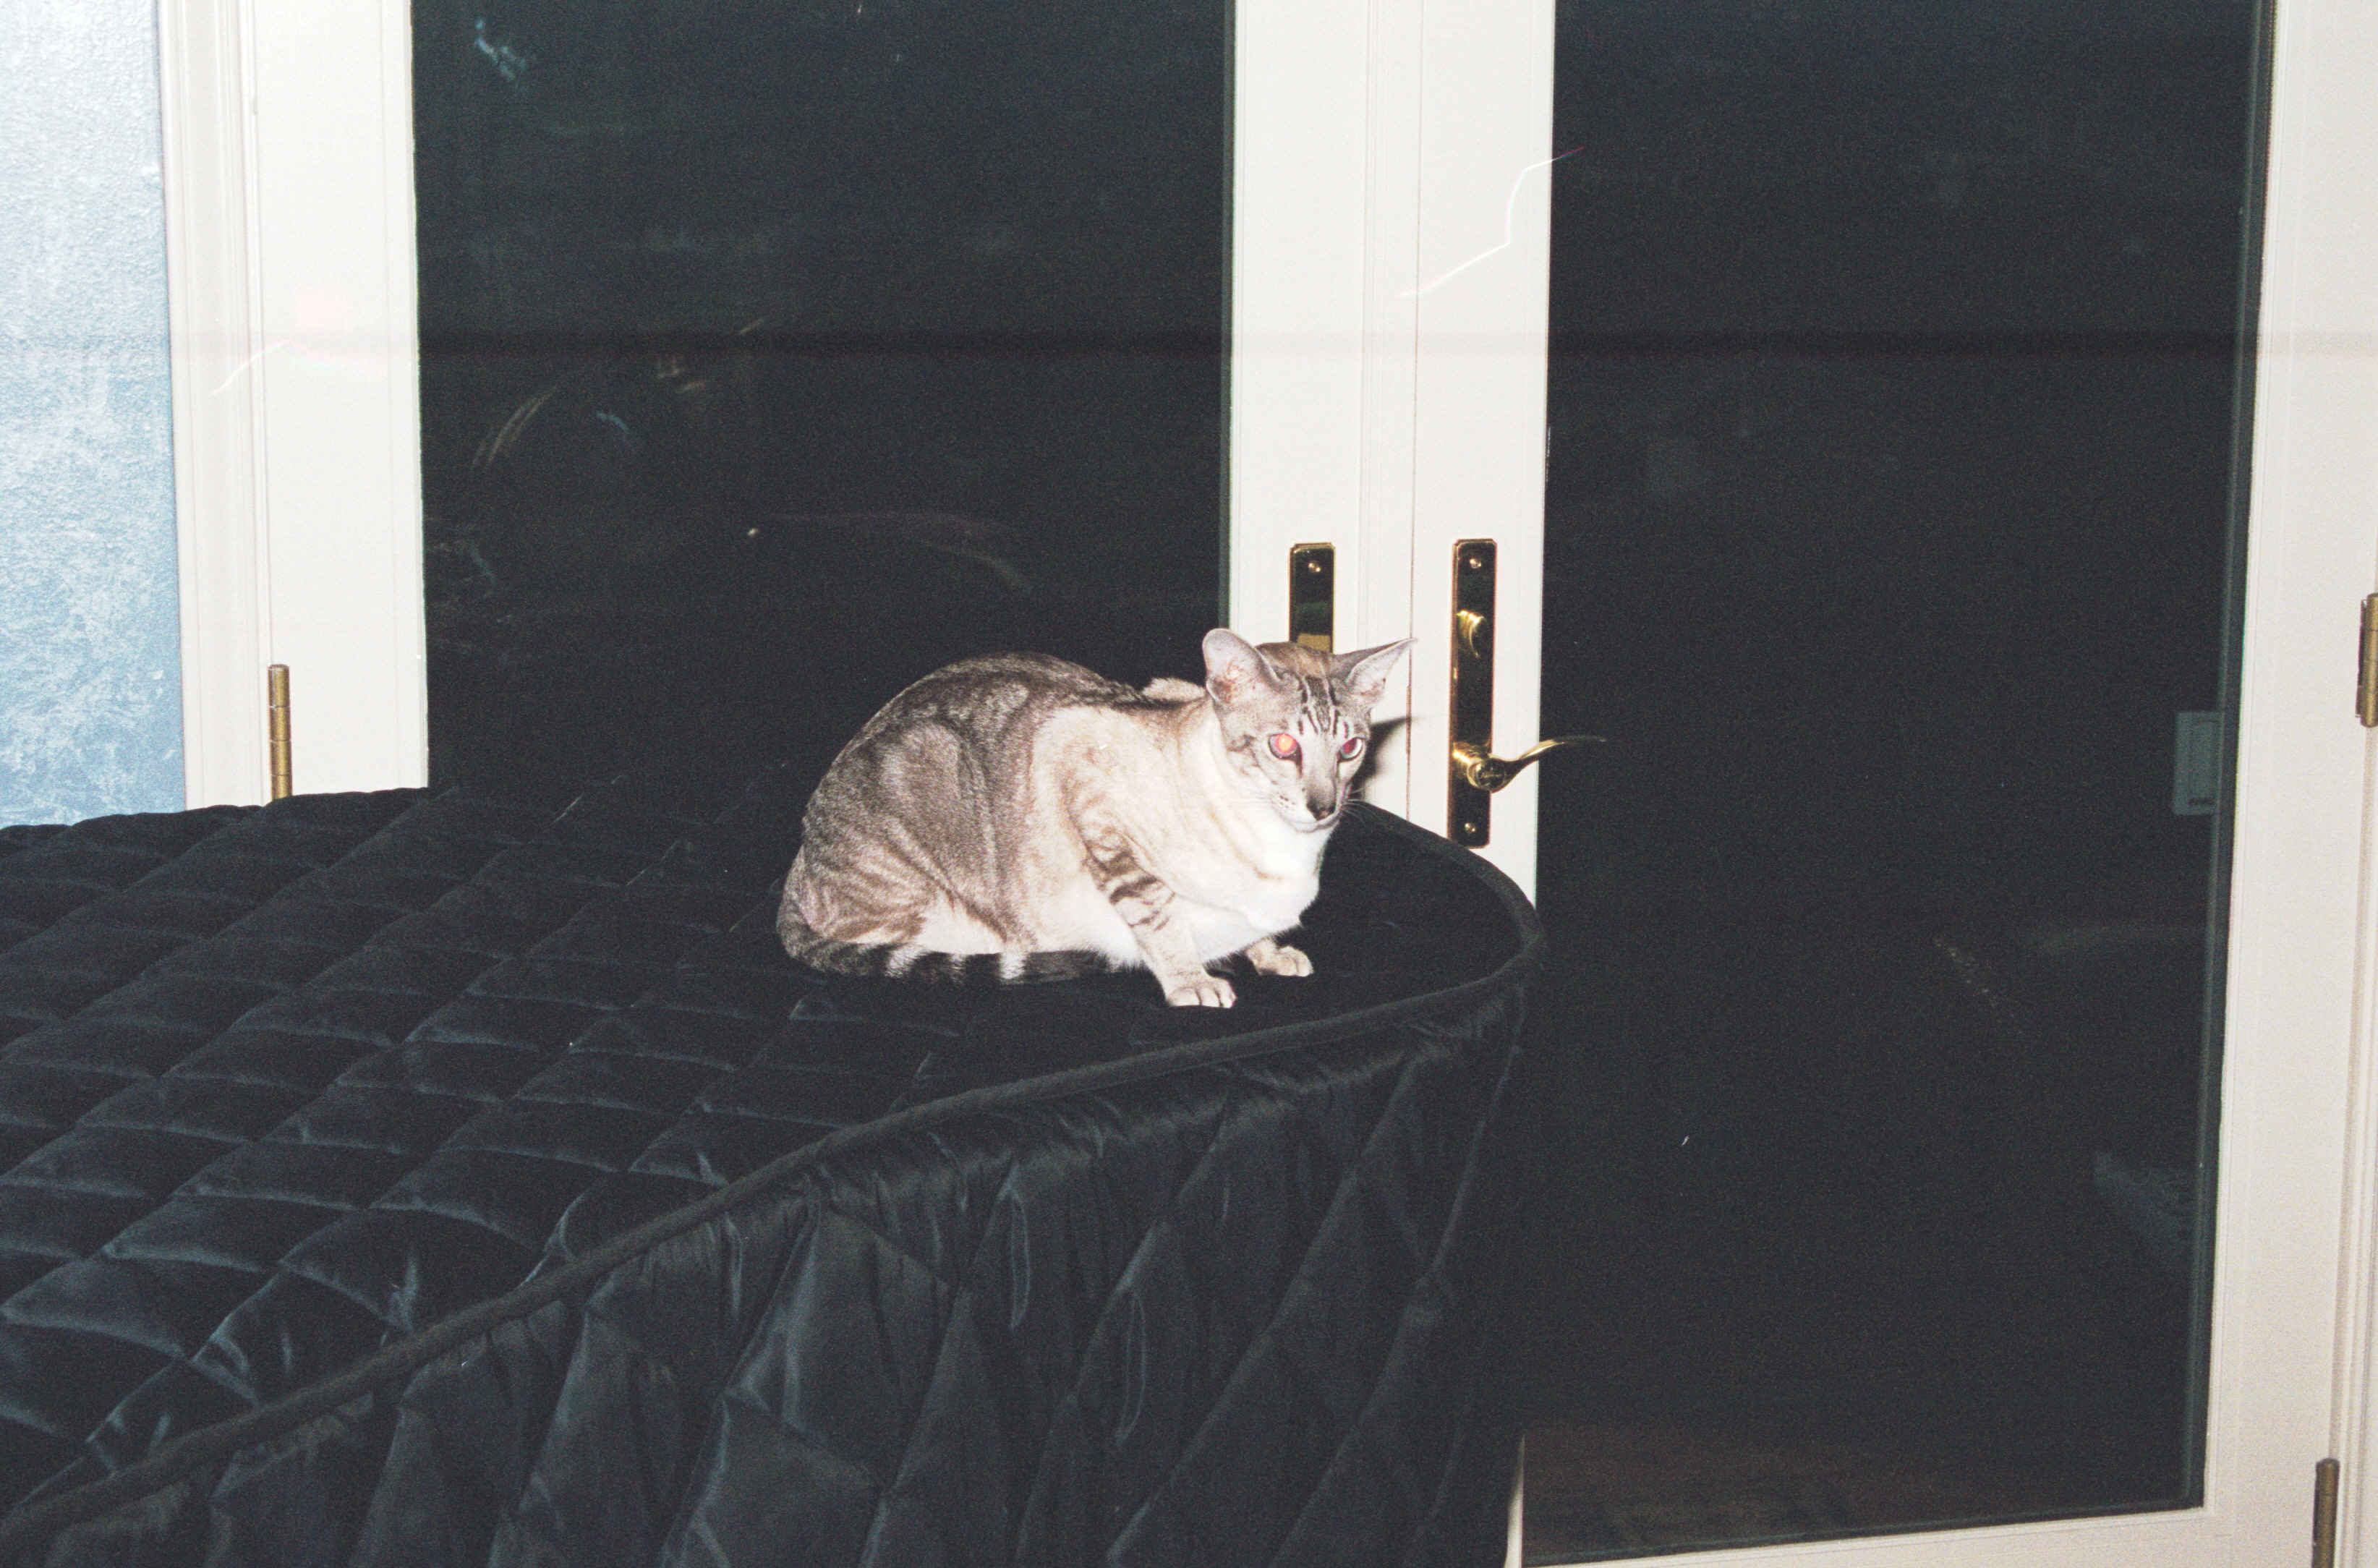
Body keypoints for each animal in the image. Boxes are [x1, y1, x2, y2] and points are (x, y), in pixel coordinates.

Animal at [777, 628, 1412, 1006]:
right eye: (1283, 746)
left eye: (1351, 748)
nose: (1323, 807)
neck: (1284, 850)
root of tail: (798, 864)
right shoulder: (1089, 795)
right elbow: (1158, 918)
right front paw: (1191, 979)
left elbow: (1256, 929)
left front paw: (1270, 951)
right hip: (931, 770)